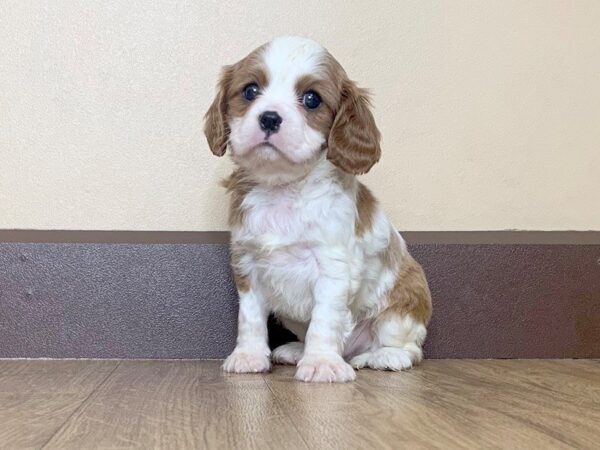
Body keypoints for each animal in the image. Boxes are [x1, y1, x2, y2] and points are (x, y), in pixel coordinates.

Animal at [205, 36, 432, 384]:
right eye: (250, 91)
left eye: (312, 99)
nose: (269, 117)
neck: (283, 188)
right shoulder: (248, 266)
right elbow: (251, 318)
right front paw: (249, 356)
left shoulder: (333, 269)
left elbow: (324, 321)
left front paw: (322, 362)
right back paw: (296, 351)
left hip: (403, 303)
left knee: (408, 347)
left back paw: (384, 356)